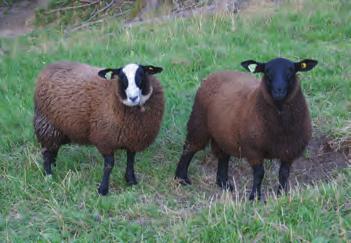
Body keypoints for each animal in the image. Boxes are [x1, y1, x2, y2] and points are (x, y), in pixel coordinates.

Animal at [33, 61, 164, 196]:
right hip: (47, 126)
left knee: (54, 149)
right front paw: (103, 189)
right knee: (46, 152)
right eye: (122, 78)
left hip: (60, 130)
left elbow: (131, 160)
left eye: (141, 75)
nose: (133, 98)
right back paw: (48, 175)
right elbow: (109, 165)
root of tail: (50, 66)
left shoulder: (132, 139)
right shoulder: (105, 140)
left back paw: (53, 165)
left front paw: (131, 181)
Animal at [176, 57, 320, 201]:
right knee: (189, 148)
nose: (278, 91)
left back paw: (224, 183)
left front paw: (281, 195)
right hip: (198, 122)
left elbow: (284, 174)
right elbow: (259, 173)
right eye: (267, 71)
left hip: (223, 133)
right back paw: (181, 178)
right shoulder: (253, 149)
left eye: (291, 70)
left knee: (223, 156)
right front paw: (255, 197)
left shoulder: (290, 150)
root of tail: (216, 73)